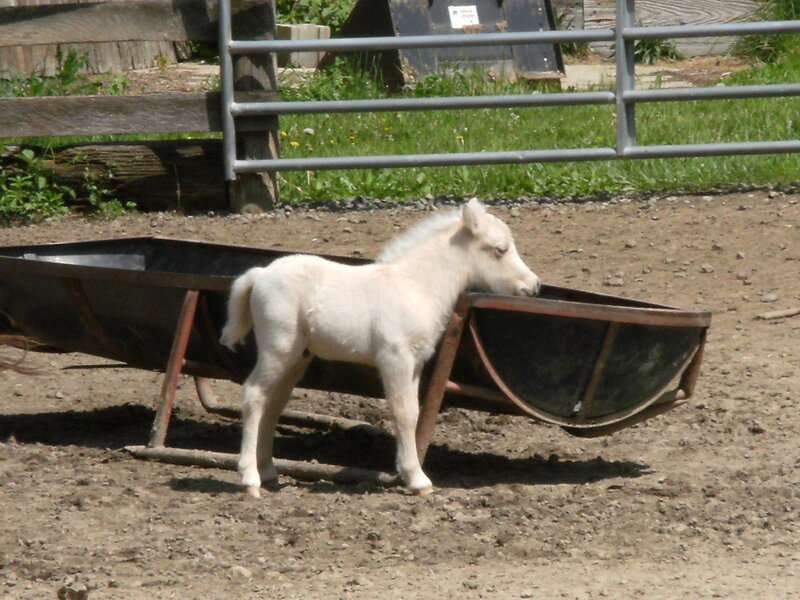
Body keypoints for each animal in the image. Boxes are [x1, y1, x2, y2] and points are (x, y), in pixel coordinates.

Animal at [221, 198, 540, 497]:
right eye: (500, 249)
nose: (534, 286)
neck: (416, 286)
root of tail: (261, 274)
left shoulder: (416, 363)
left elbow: (413, 410)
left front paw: (410, 474)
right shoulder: (394, 357)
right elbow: (403, 412)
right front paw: (417, 479)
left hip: (297, 357)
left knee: (273, 403)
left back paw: (269, 471)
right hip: (278, 348)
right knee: (254, 395)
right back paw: (250, 479)